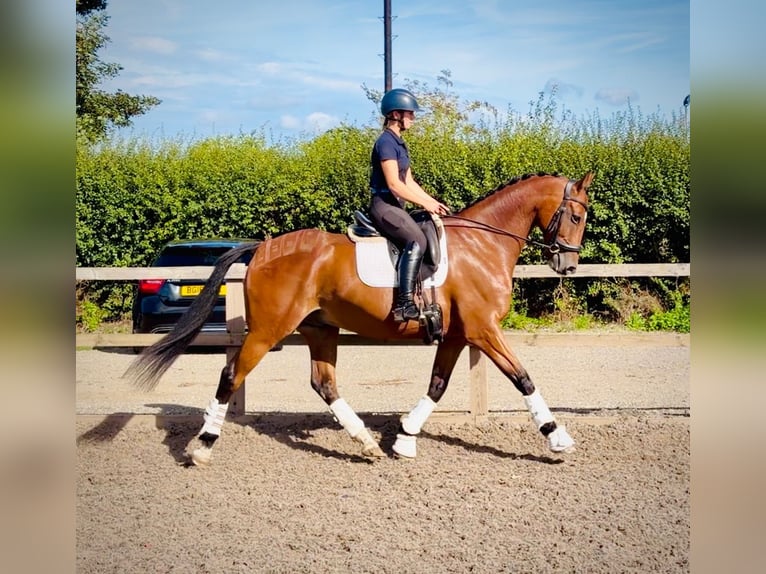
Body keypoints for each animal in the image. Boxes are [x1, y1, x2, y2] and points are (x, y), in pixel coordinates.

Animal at [126, 171, 593, 466]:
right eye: (576, 215)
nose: (567, 266)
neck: (483, 245)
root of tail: (261, 247)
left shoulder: (457, 334)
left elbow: (437, 386)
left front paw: (404, 437)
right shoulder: (483, 330)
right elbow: (523, 378)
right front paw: (558, 437)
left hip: (319, 328)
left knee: (323, 383)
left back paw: (366, 442)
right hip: (267, 331)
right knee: (231, 375)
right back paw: (201, 447)